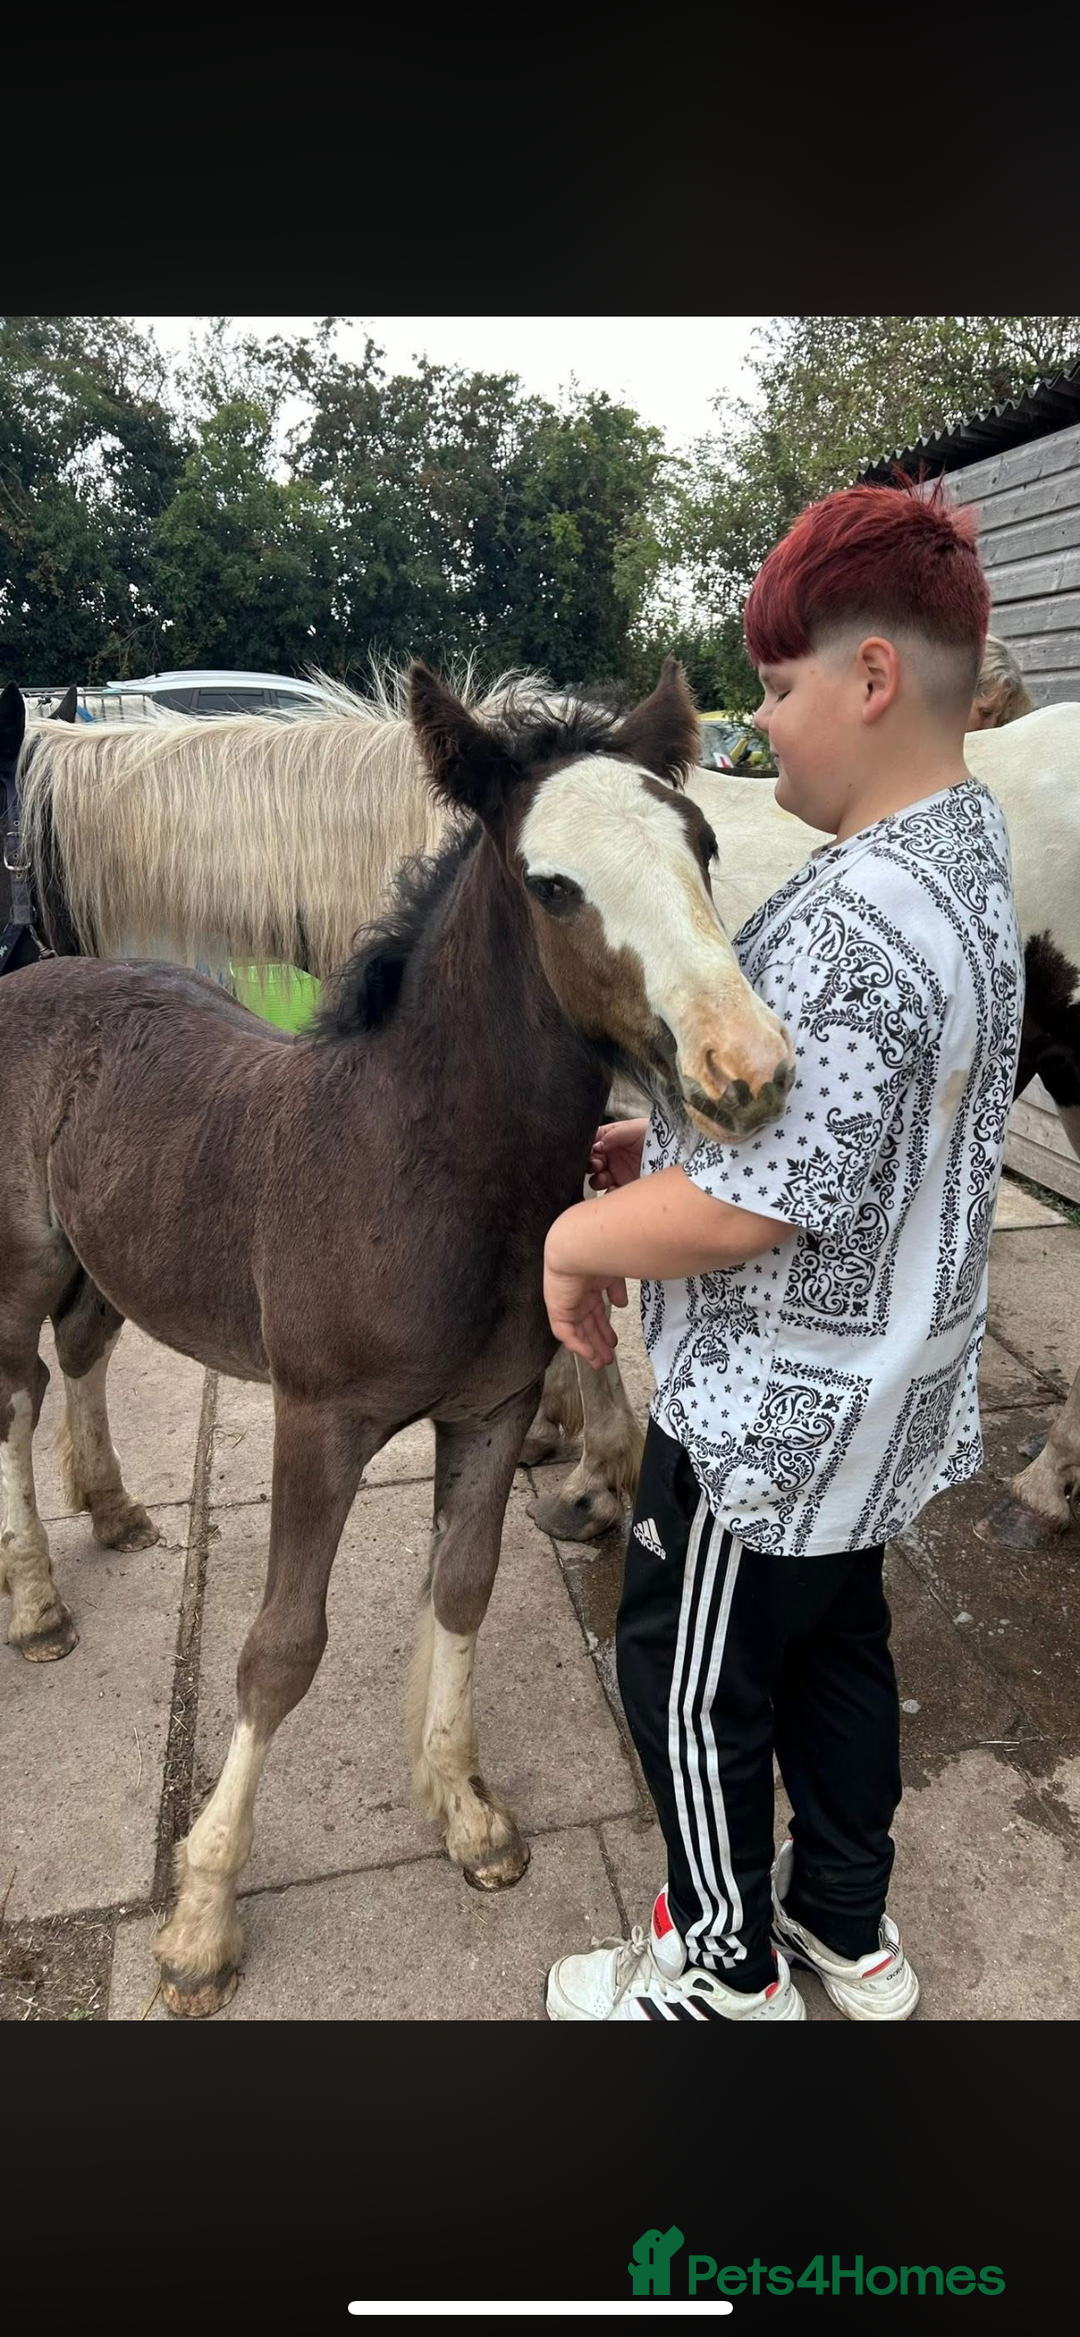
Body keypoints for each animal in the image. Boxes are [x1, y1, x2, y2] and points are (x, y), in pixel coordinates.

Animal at [0, 660, 795, 2016]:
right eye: (553, 884)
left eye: (701, 845)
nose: (747, 1070)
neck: (414, 1164)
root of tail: (36, 976)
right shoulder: (315, 1421)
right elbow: (279, 1650)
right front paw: (201, 1918)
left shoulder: (489, 1411)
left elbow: (462, 1588)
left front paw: (465, 1810)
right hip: (22, 1261)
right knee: (17, 1395)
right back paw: (39, 1602)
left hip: (112, 1256)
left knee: (88, 1354)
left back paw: (109, 1507)